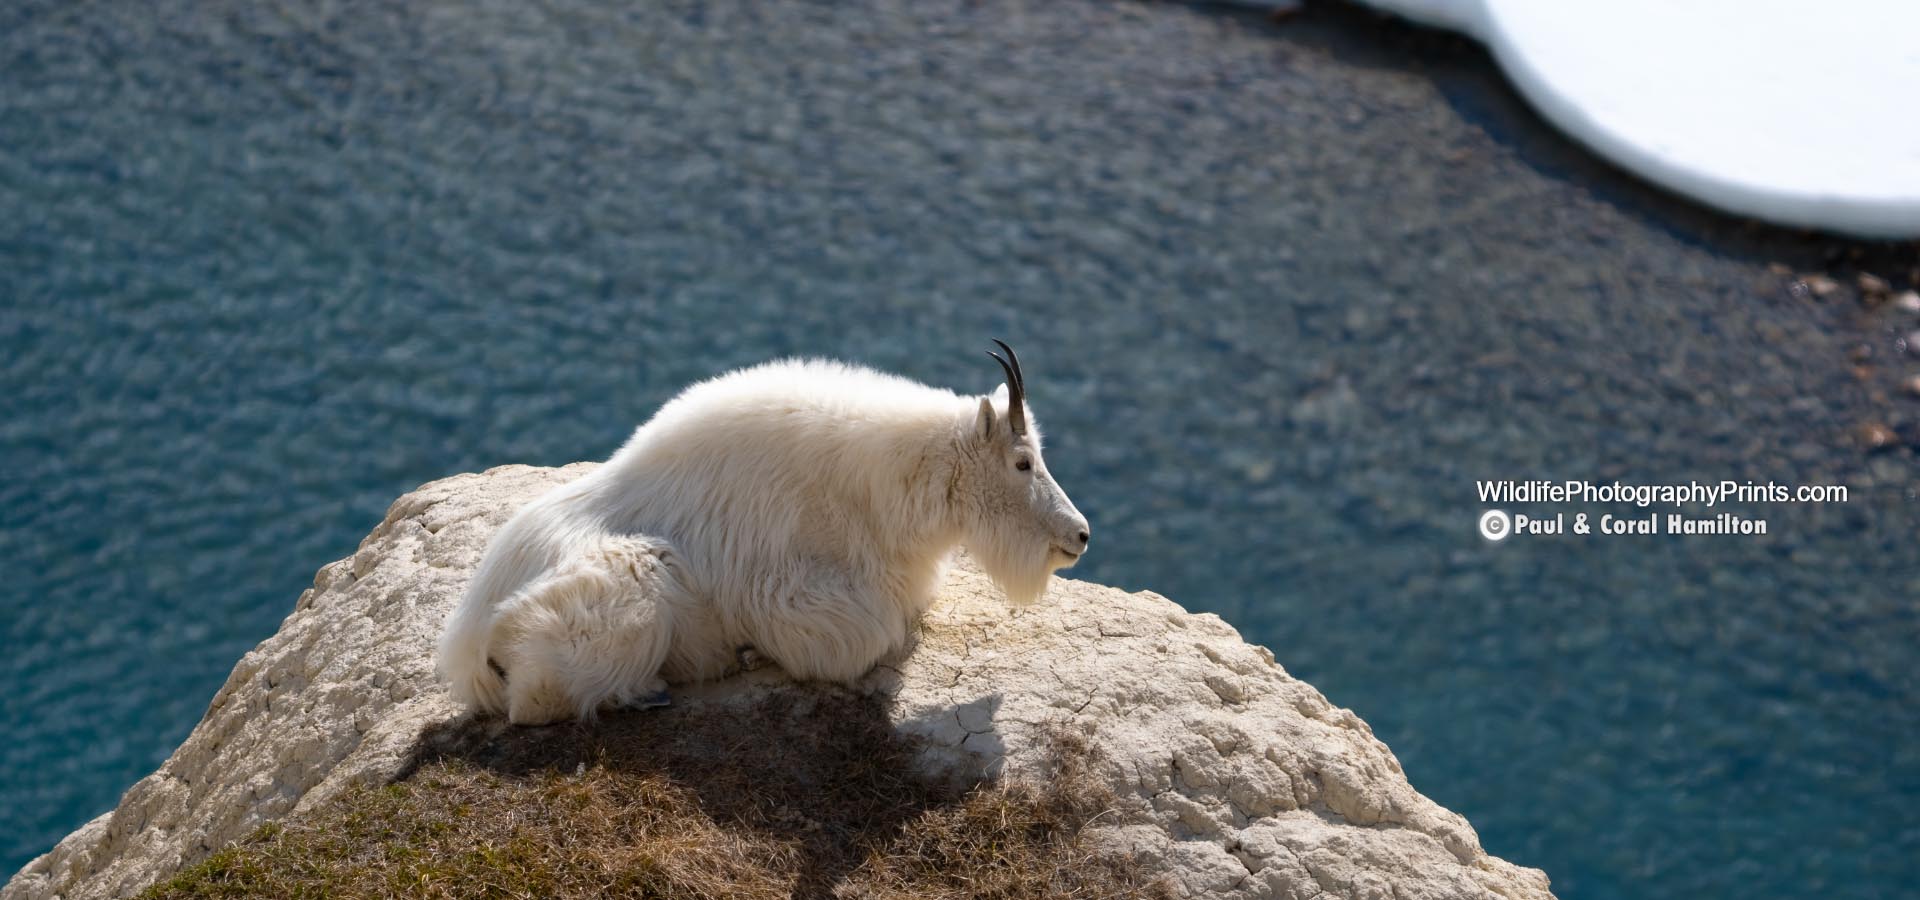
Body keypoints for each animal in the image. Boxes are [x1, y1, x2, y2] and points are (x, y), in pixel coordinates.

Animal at [439, 339, 1090, 725]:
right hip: (635, 582)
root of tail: (470, 649)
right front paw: (753, 650)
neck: (877, 488)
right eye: (1023, 462)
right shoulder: (799, 595)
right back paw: (662, 684)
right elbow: (873, 634)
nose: (1080, 535)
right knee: (538, 704)